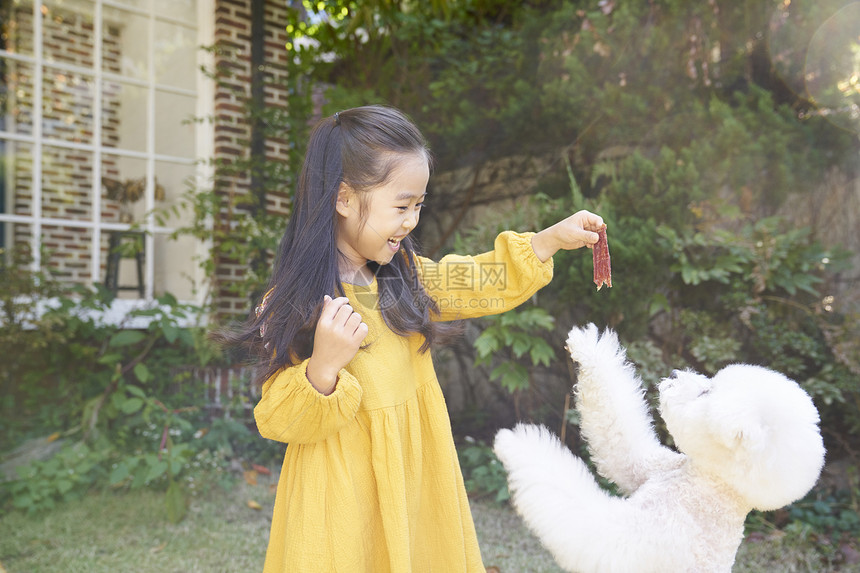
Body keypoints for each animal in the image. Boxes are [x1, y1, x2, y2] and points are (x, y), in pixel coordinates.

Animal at [494, 324, 824, 568]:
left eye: (705, 393)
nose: (676, 373)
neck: (706, 486)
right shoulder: (645, 463)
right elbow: (617, 431)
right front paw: (589, 347)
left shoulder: (628, 540)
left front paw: (518, 445)